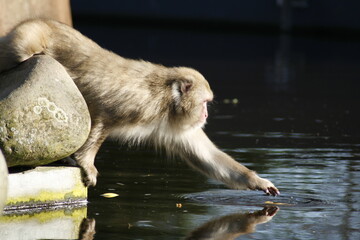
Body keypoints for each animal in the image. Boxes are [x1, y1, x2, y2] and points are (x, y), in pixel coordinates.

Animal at [0, 18, 280, 195]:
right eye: (205, 102)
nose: (205, 114)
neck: (166, 101)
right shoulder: (138, 103)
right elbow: (102, 115)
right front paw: (85, 162)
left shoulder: (175, 126)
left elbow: (207, 157)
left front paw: (258, 181)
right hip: (27, 36)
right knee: (22, 51)